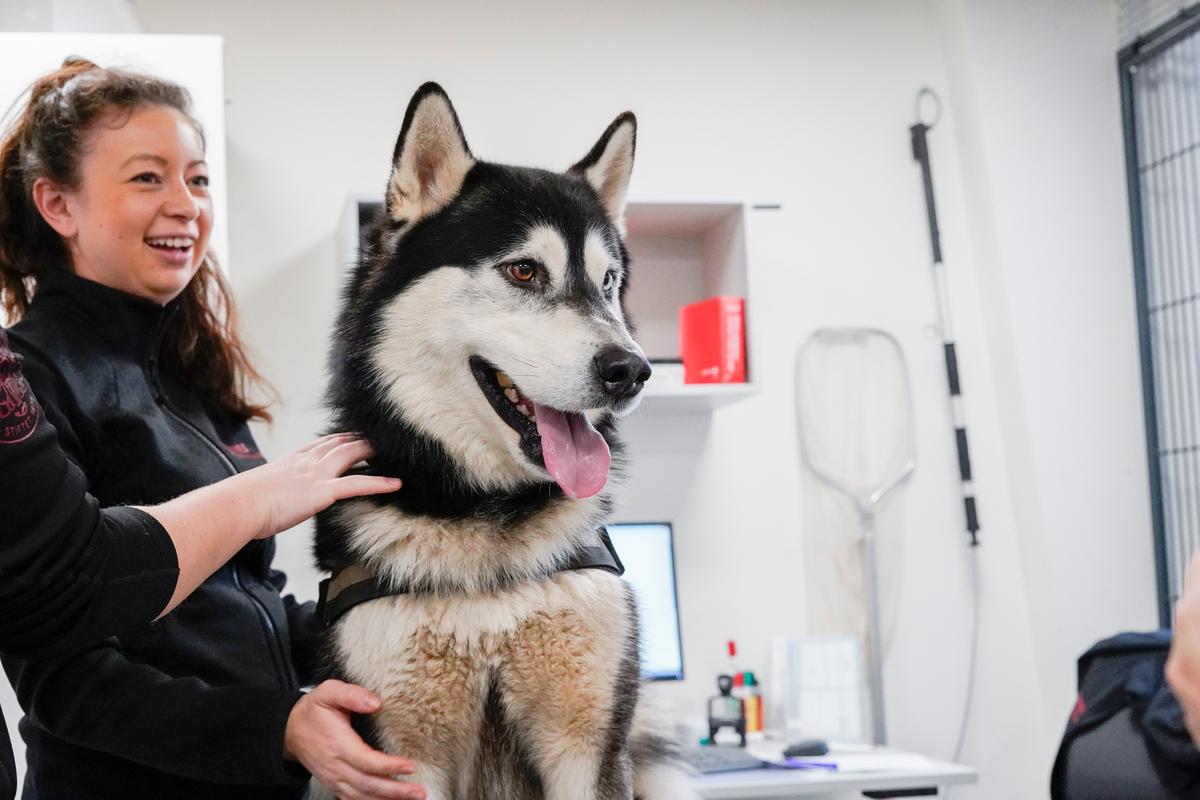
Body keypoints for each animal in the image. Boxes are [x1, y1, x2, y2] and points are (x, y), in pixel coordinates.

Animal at [314, 82, 700, 800]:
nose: (632, 370)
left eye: (609, 283)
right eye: (523, 271)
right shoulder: (401, 756)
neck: (488, 523)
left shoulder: (589, 744)